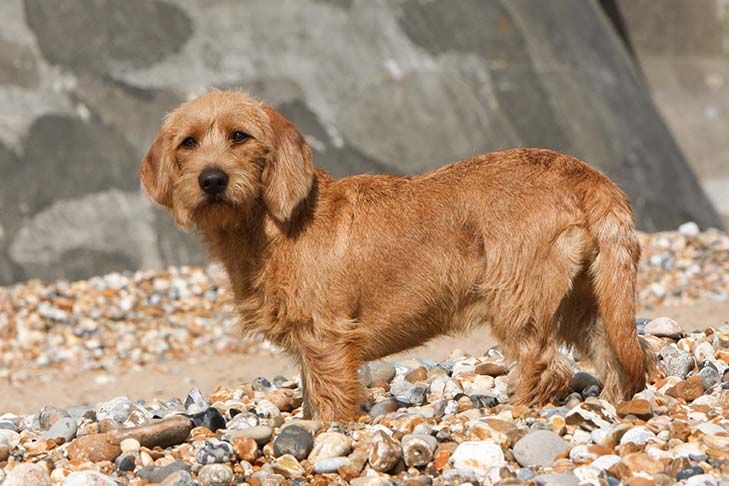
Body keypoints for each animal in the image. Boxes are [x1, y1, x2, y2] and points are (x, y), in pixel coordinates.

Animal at [139, 90, 656, 422]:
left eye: (240, 136)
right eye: (188, 142)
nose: (212, 179)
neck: (271, 226)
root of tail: (586, 175)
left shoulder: (326, 340)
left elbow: (331, 400)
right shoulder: (309, 349)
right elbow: (311, 396)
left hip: (517, 300)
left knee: (548, 366)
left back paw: (513, 413)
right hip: (582, 301)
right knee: (620, 353)